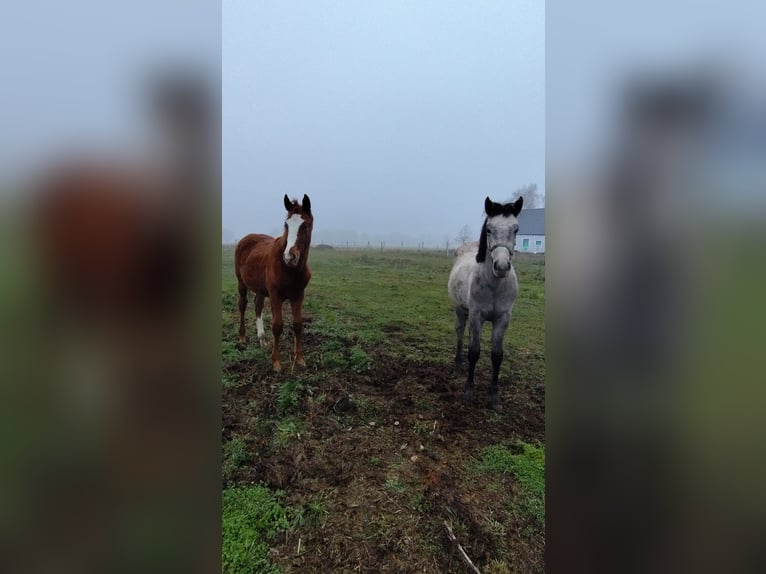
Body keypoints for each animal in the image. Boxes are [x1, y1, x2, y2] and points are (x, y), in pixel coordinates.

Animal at [235, 194, 313, 372]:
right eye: (286, 224)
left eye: (305, 225)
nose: (289, 257)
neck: (290, 270)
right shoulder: (275, 295)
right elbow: (277, 326)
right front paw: (276, 362)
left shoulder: (299, 295)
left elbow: (298, 325)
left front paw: (300, 359)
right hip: (242, 283)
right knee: (242, 305)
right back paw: (242, 337)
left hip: (261, 289)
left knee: (257, 306)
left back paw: (262, 339)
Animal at [447, 195, 523, 410]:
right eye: (489, 229)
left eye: (516, 229)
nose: (502, 267)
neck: (494, 284)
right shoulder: (476, 315)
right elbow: (474, 352)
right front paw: (469, 391)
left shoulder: (503, 319)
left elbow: (497, 355)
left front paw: (494, 397)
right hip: (461, 311)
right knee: (460, 332)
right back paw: (458, 363)